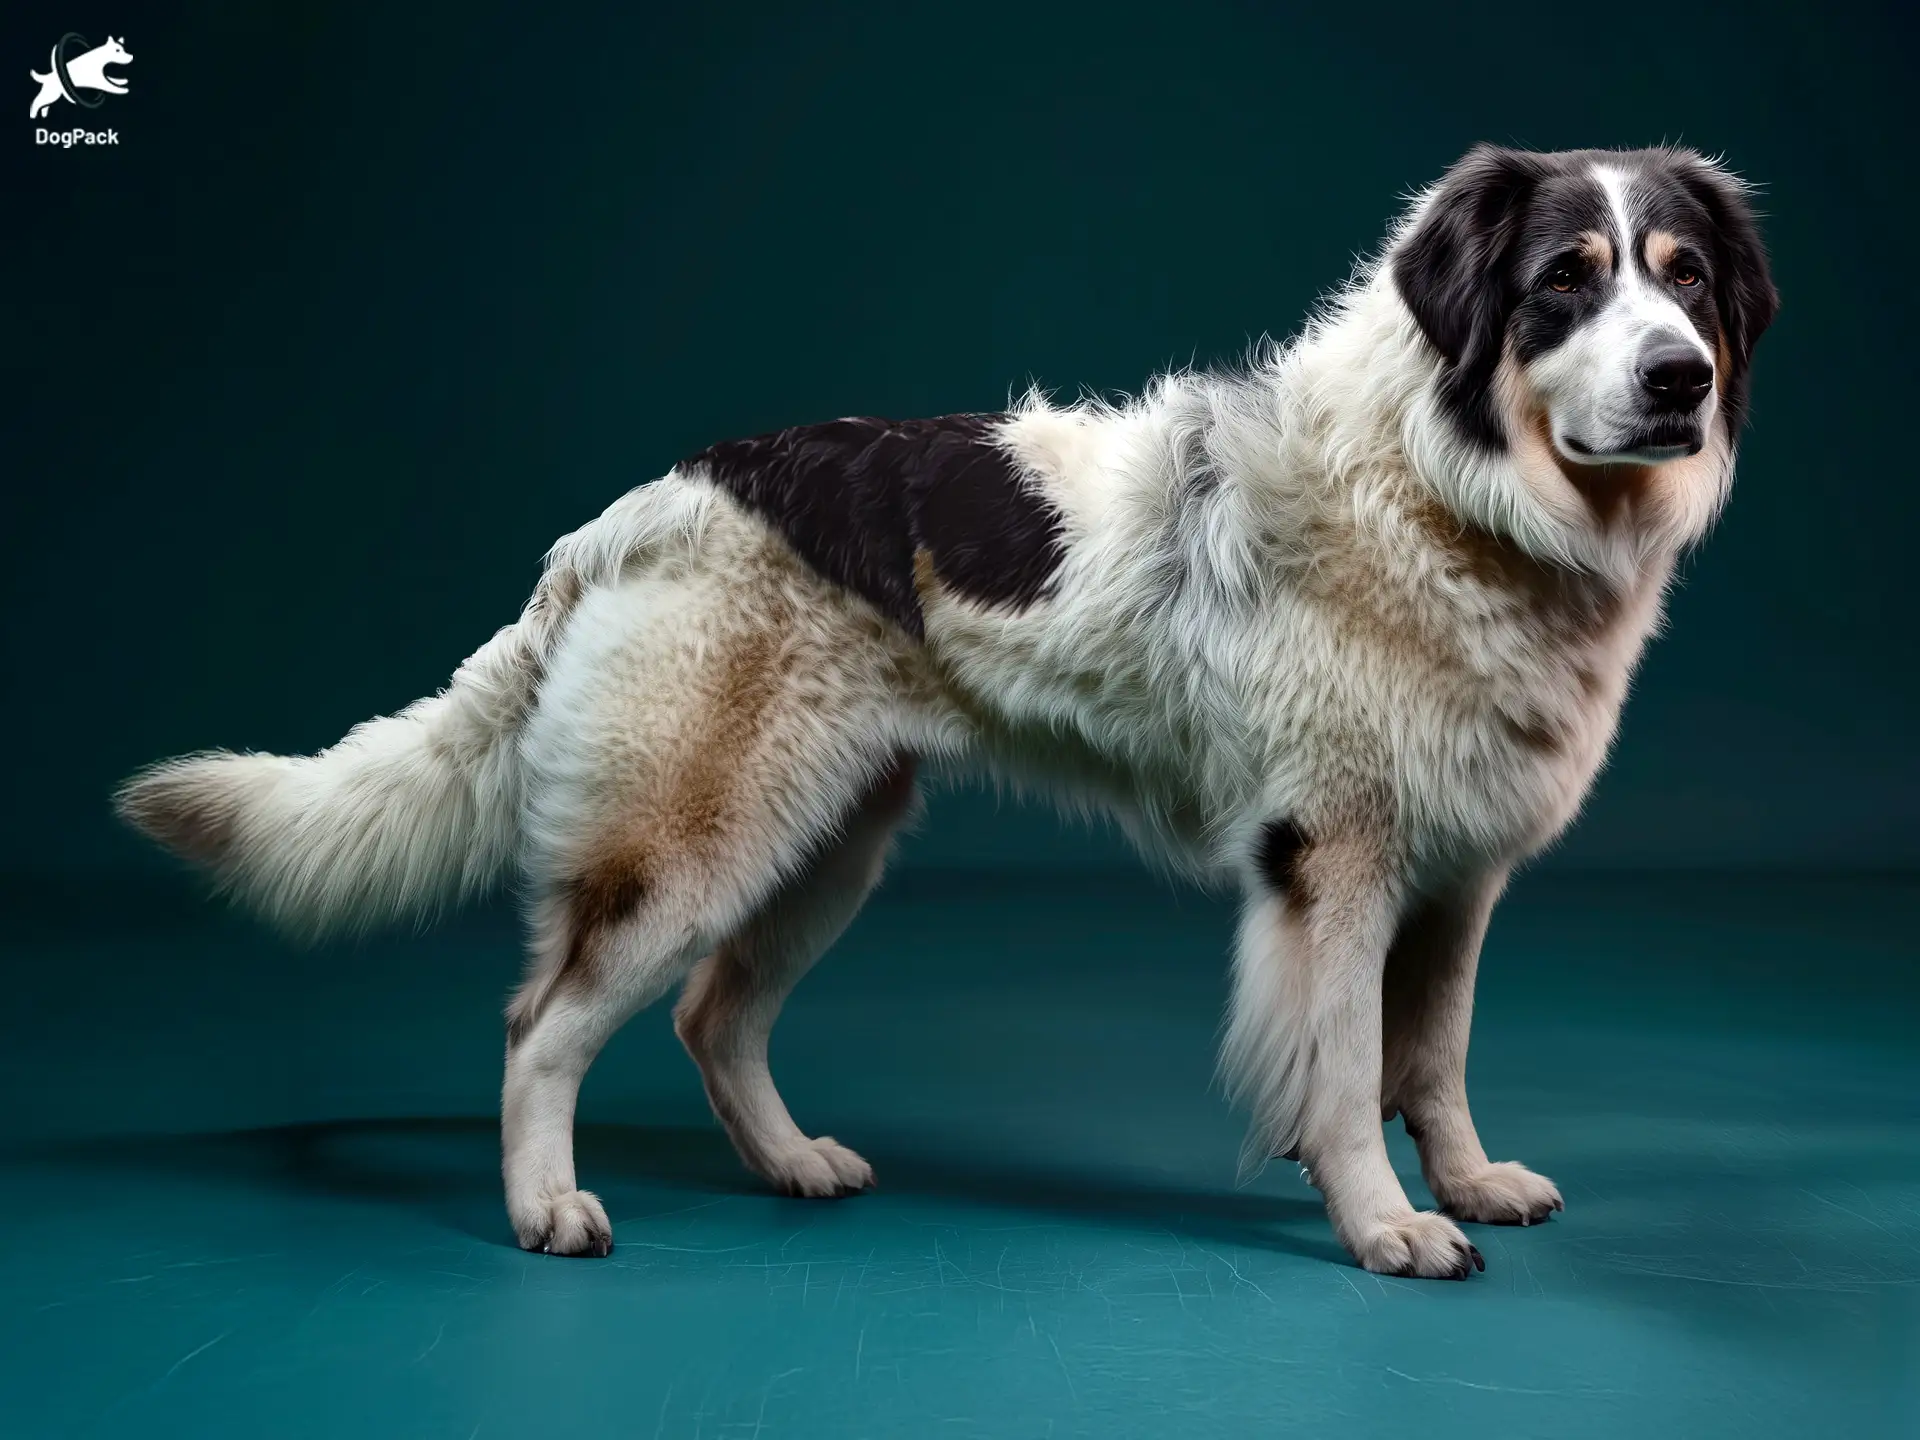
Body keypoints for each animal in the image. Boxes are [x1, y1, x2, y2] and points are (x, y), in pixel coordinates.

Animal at [116, 146, 1766, 1282]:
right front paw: (1389, 1229)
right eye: (1565, 281)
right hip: (701, 841)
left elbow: (1436, 1056)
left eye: (1684, 277)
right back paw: (546, 1207)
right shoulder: (1335, 864)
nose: (1680, 380)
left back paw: (790, 1165)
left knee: (714, 1015)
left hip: (827, 841)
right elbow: (1354, 1074)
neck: (1449, 486)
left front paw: (1468, 1182)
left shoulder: (1458, 875)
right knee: (544, 1023)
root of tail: (634, 509)